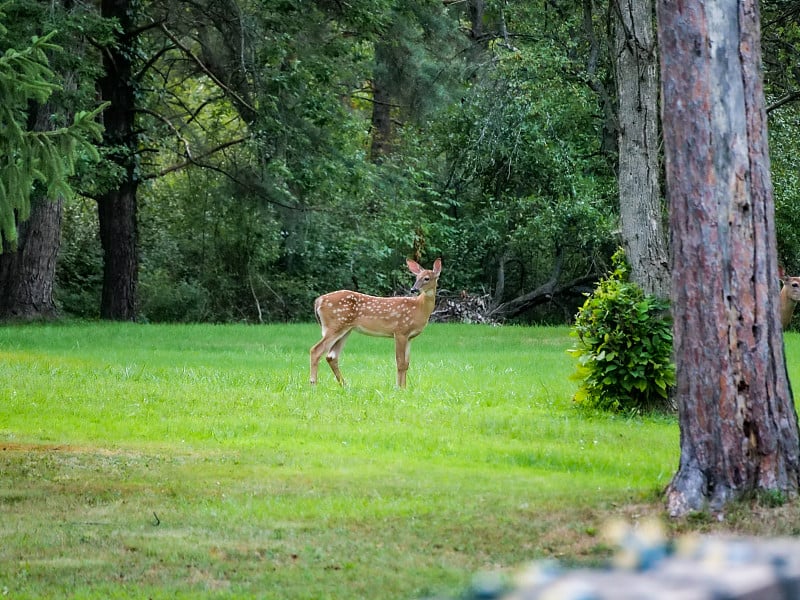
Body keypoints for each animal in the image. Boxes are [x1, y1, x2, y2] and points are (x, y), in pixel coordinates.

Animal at [310, 258, 440, 390]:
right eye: (417, 277)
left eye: (426, 278)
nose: (413, 289)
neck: (419, 308)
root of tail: (318, 301)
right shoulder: (400, 331)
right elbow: (400, 362)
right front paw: (398, 388)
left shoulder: (409, 337)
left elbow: (406, 363)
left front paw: (404, 387)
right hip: (334, 325)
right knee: (316, 350)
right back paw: (313, 384)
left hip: (345, 329)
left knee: (331, 356)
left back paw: (345, 385)